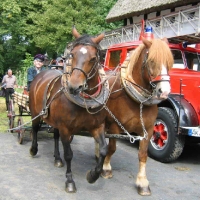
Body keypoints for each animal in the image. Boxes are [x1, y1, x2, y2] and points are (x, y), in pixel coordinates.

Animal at [28, 27, 109, 192]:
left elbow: (104, 149)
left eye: (93, 58)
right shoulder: (66, 128)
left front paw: (93, 175)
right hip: (36, 113)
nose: (74, 86)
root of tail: (41, 74)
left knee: (55, 135)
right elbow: (69, 154)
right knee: (35, 129)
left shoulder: (97, 126)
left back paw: (57, 158)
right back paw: (33, 149)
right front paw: (70, 181)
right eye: (72, 54)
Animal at [99, 37, 174, 195]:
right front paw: (106, 168)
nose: (164, 92)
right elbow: (112, 148)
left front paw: (142, 182)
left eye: (170, 62)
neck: (137, 101)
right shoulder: (115, 126)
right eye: (152, 61)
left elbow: (143, 154)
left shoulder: (148, 130)